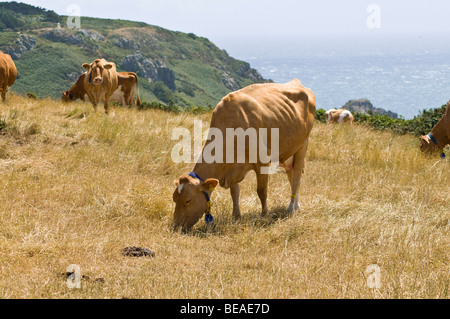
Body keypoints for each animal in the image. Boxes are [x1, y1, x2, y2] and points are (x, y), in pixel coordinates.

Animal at [172, 79, 316, 231]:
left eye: (188, 200)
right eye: (174, 198)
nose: (175, 226)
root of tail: (297, 83)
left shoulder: (262, 161)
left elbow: (262, 191)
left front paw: (264, 215)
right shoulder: (231, 168)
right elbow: (234, 192)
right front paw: (236, 216)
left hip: (303, 144)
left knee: (297, 178)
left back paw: (291, 208)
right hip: (288, 151)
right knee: (292, 174)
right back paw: (296, 206)